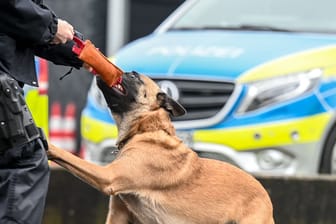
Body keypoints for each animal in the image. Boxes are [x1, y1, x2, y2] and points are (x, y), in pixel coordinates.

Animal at [47, 72, 274, 224]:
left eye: (134, 76)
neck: (145, 129)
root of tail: (267, 200)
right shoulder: (118, 214)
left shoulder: (108, 176)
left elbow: (68, 156)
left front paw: (47, 144)